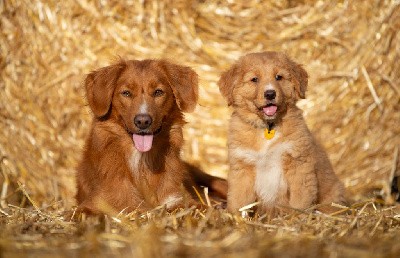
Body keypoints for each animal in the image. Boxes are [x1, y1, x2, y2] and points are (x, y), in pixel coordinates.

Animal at [74, 58, 225, 214]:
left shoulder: (177, 199)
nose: (143, 121)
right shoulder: (95, 204)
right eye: (126, 93)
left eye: (158, 92)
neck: (141, 162)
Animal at [217, 51, 346, 215]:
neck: (268, 128)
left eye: (279, 77)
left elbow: (300, 200)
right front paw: (234, 217)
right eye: (254, 79)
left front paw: (296, 217)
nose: (270, 94)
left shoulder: (299, 165)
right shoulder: (242, 168)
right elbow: (238, 200)